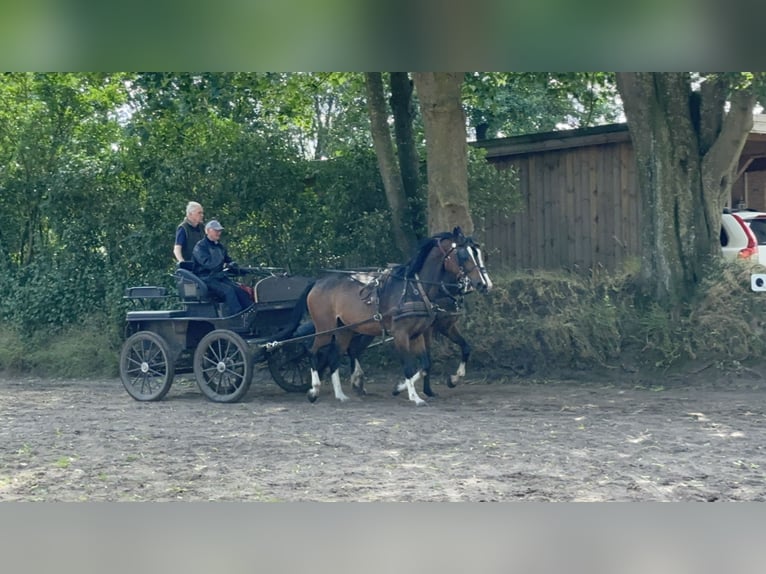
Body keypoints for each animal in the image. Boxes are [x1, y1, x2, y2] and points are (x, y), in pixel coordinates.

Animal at [304, 227, 491, 406]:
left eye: (480, 254)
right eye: (463, 255)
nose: (484, 284)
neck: (416, 289)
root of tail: (318, 282)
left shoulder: (419, 333)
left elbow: (427, 363)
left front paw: (406, 387)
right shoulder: (402, 334)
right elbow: (409, 366)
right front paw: (415, 396)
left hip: (345, 330)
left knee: (334, 358)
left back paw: (341, 395)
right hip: (325, 328)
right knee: (314, 352)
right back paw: (314, 390)